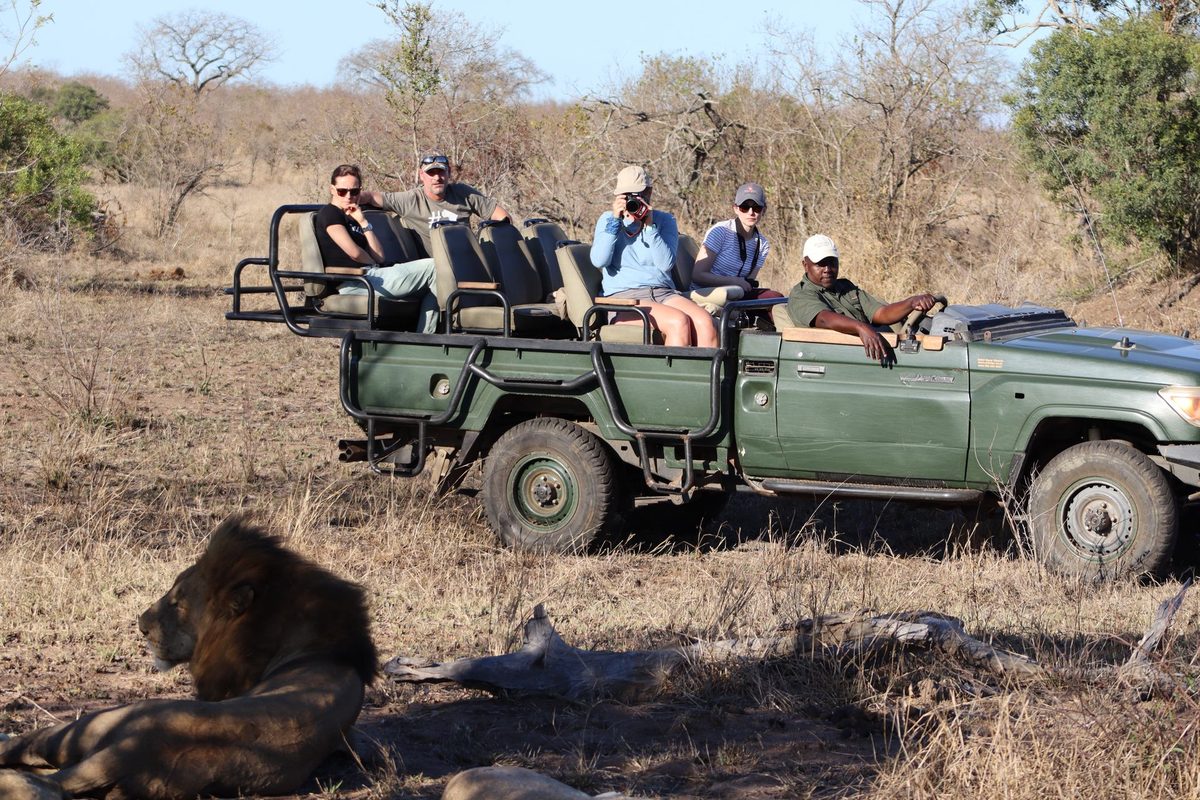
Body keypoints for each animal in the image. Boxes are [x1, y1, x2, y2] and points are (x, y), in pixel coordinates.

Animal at [0, 517, 377, 799]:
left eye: (177, 602)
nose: (141, 625)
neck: (313, 648)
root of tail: (133, 754)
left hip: (95, 721)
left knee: (24, 749)